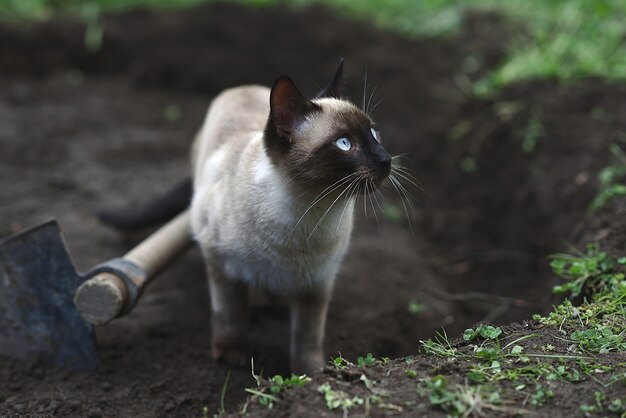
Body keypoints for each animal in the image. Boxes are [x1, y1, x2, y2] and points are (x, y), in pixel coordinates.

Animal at [102, 61, 390, 372]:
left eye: (374, 134)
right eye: (345, 143)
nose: (386, 159)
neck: (311, 213)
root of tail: (242, 86)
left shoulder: (318, 283)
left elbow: (308, 335)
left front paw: (312, 374)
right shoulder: (222, 265)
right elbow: (231, 314)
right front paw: (232, 357)